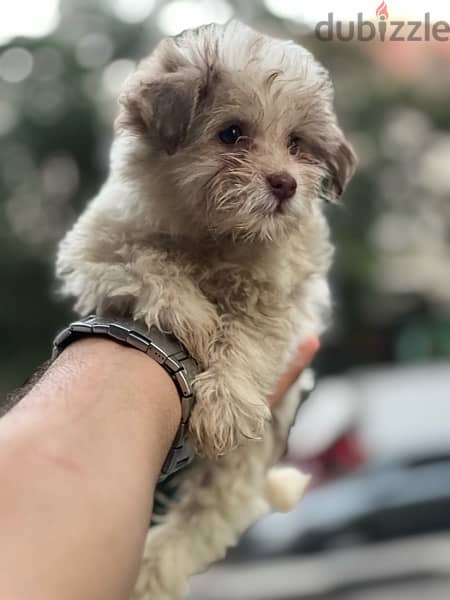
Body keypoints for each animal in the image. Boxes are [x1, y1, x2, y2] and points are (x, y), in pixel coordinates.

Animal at [56, 19, 356, 600]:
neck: (216, 235)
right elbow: (147, 262)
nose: (285, 184)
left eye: (296, 143)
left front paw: (225, 403)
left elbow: (248, 337)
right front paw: (194, 318)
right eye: (232, 135)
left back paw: (150, 572)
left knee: (202, 523)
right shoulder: (96, 247)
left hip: (237, 469)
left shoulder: (279, 297)